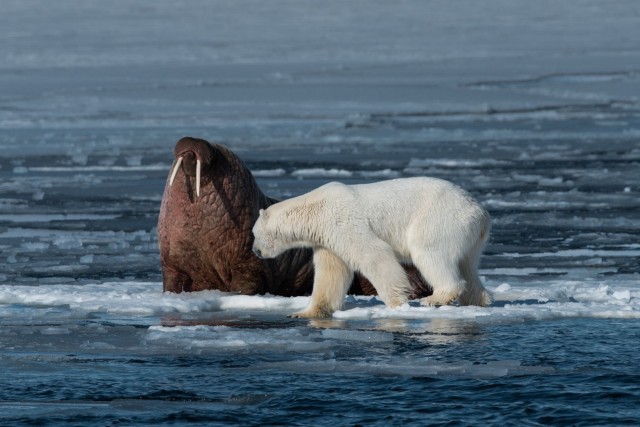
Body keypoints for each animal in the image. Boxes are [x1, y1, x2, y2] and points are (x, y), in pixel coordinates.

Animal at [251, 177, 492, 318]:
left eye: (254, 234)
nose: (255, 251)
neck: (315, 208)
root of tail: (480, 212)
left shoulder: (342, 221)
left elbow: (373, 254)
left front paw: (397, 302)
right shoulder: (326, 239)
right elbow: (332, 272)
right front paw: (305, 312)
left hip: (439, 218)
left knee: (429, 251)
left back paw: (435, 298)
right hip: (469, 236)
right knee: (467, 265)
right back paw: (478, 300)